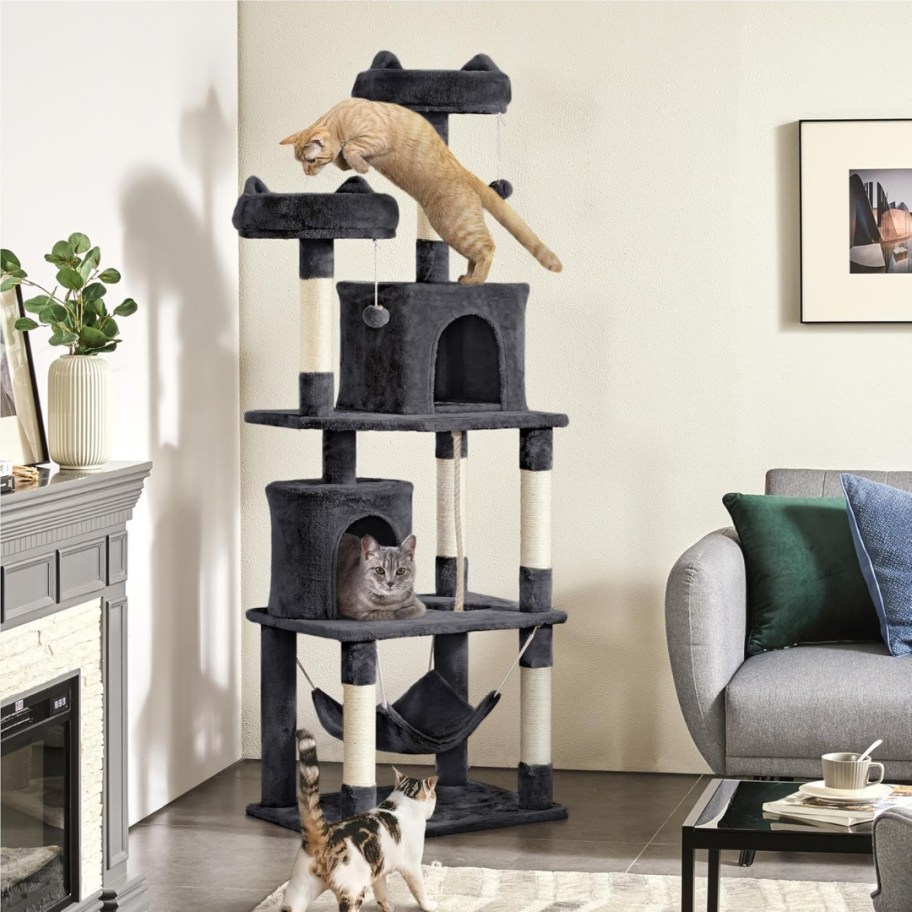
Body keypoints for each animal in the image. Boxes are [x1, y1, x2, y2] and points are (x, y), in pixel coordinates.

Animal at [280, 97, 564, 284]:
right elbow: (342, 158)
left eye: (310, 161)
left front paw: (360, 166)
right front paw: (350, 164)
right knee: (476, 253)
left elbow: (350, 150)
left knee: (487, 249)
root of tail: (465, 172)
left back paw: (474, 281)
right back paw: (467, 275)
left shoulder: (373, 138)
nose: (306, 173)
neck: (339, 119)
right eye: (300, 162)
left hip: (455, 227)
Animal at [284, 732, 440, 912]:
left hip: (298, 890)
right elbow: (419, 890)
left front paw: (387, 907)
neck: (402, 804)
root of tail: (325, 836)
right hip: (353, 892)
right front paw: (429, 905)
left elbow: (381, 892)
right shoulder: (412, 866)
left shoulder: (379, 870)